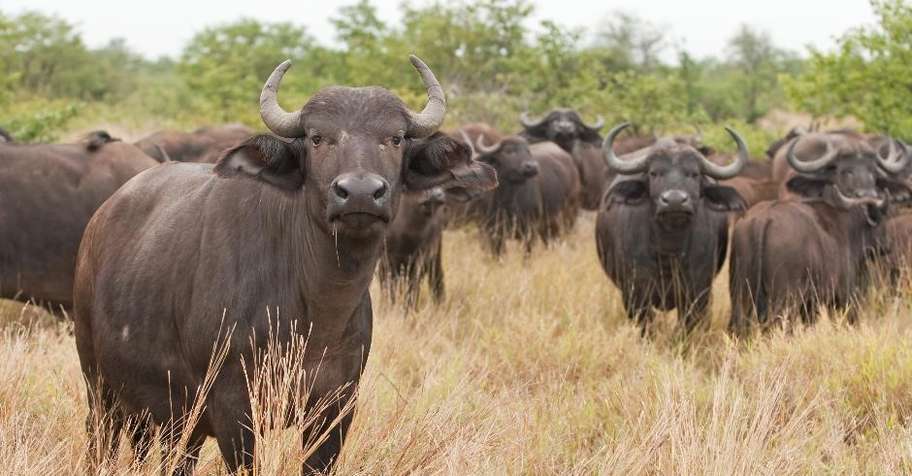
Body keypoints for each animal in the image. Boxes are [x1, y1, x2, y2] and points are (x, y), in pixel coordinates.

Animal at [73, 55, 496, 475]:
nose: (360, 192)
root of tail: (100, 218)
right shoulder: (234, 409)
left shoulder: (335, 408)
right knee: (100, 439)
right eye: (317, 137)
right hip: (99, 385)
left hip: (170, 417)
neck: (317, 313)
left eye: (395, 138)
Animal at [596, 123, 749, 335]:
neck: (669, 249)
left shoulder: (698, 291)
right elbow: (646, 326)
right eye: (654, 173)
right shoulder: (634, 292)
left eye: (694, 174)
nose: (674, 200)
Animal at [729, 132, 912, 335]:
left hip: (740, 298)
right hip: (785, 301)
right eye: (845, 171)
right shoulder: (843, 298)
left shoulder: (811, 304)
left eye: (874, 173)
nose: (886, 245)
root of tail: (763, 220)